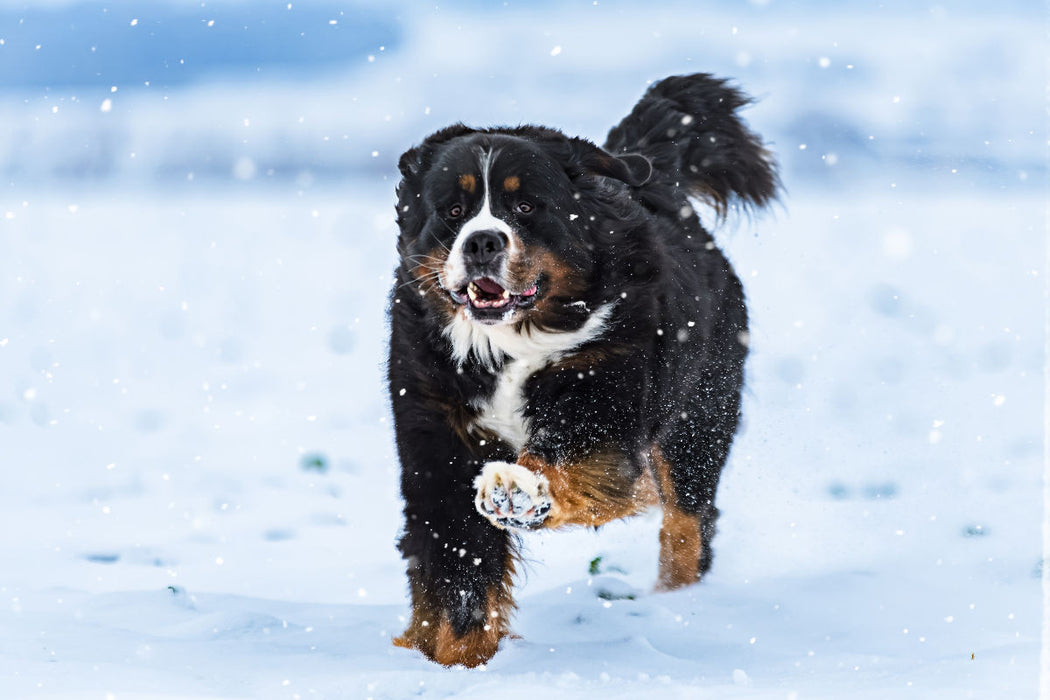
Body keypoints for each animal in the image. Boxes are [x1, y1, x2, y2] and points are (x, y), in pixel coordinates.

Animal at [388, 72, 781, 667]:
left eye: (526, 206)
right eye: (452, 210)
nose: (482, 240)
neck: (510, 343)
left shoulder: (601, 399)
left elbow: (570, 462)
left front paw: (517, 489)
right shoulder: (436, 444)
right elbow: (457, 576)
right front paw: (455, 664)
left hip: (697, 422)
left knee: (687, 526)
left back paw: (678, 608)